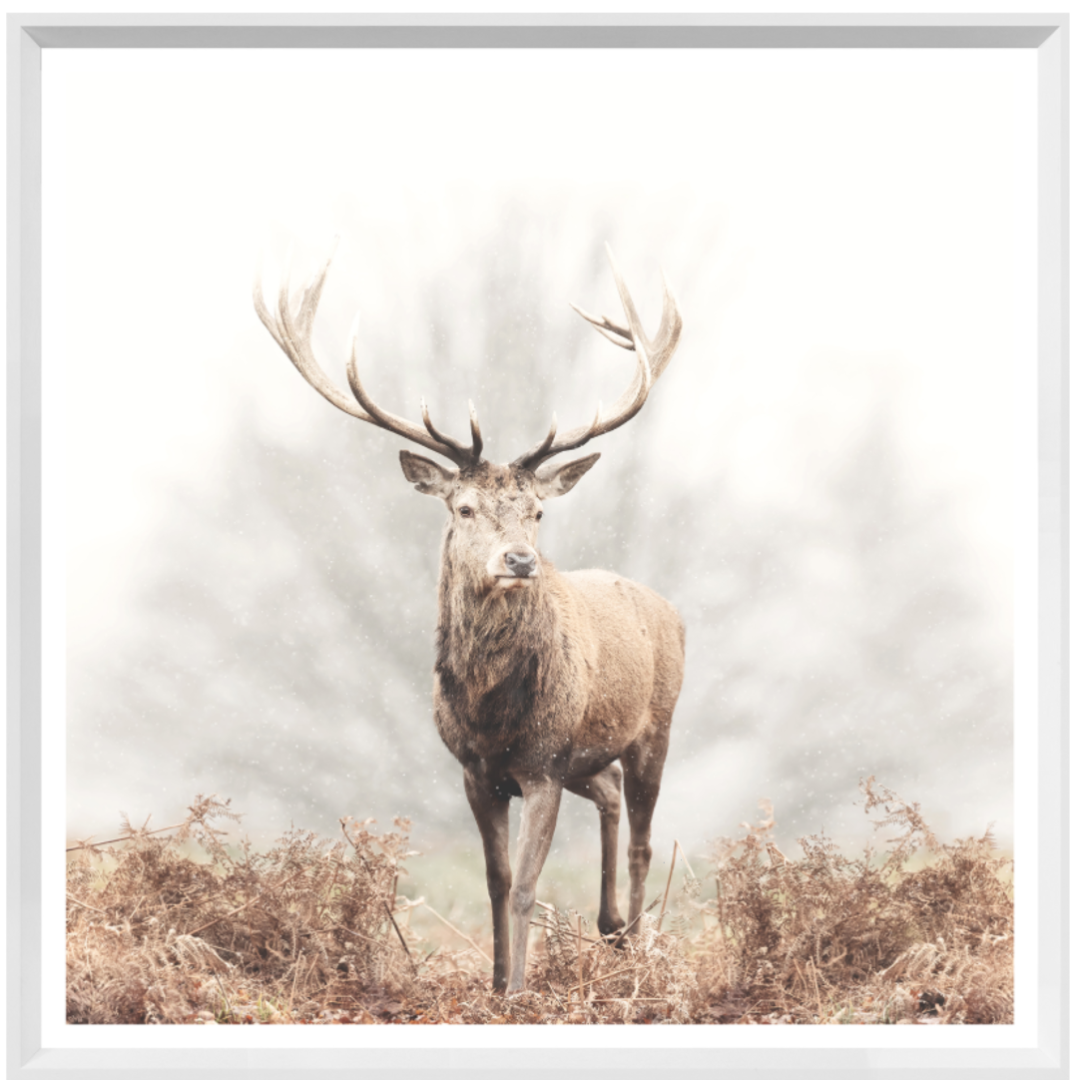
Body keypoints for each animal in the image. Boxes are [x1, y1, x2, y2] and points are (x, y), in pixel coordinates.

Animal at [254, 241, 684, 994]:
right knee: (605, 793)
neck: (492, 714)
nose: (519, 559)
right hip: (586, 757)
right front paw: (494, 983)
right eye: (464, 508)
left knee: (642, 838)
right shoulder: (476, 770)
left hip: (655, 725)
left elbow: (528, 886)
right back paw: (608, 928)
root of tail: (672, 612)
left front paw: (520, 989)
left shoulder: (543, 763)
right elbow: (495, 880)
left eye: (537, 512)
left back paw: (633, 943)